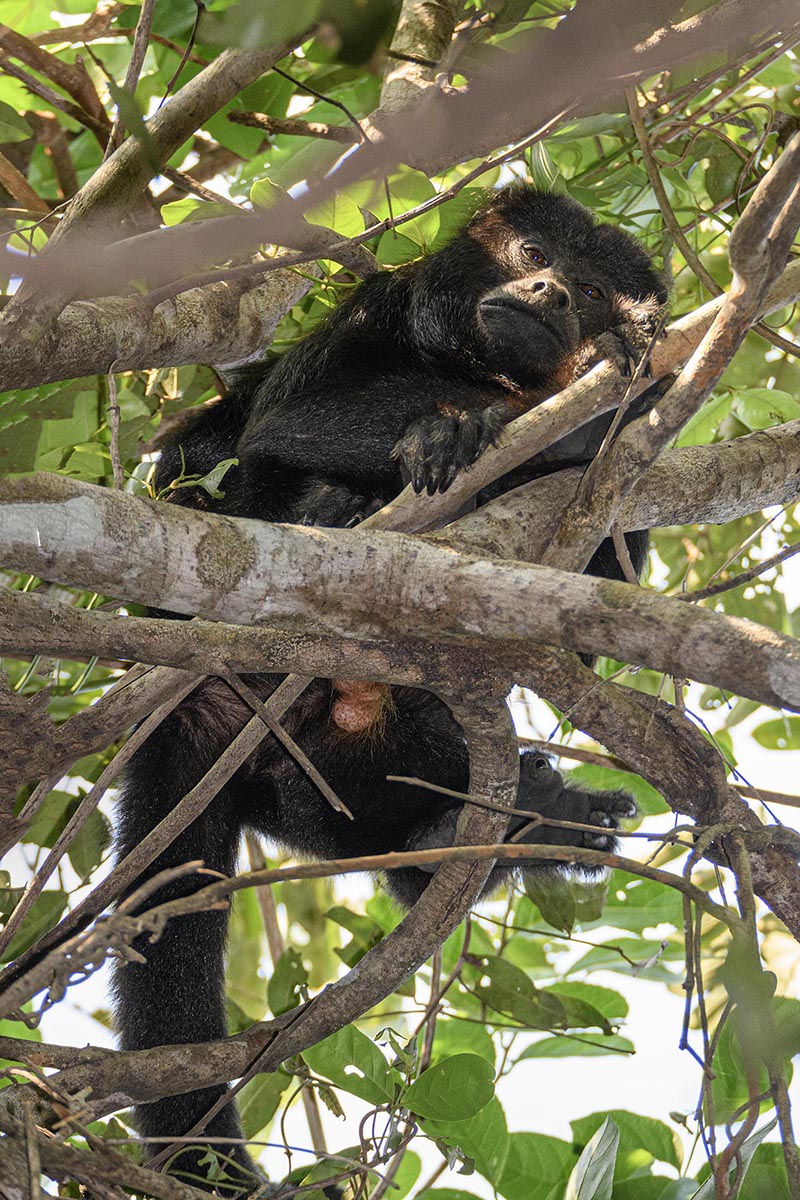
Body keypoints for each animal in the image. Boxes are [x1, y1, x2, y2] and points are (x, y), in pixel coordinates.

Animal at [112, 186, 667, 1192]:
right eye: (534, 253)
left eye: (595, 289)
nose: (553, 293)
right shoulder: (380, 306)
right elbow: (282, 419)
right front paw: (468, 422)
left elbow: (611, 564)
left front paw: (596, 406)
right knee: (223, 452)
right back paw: (342, 506)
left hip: (330, 778)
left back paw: (508, 821)